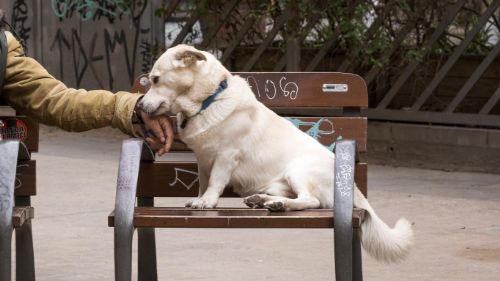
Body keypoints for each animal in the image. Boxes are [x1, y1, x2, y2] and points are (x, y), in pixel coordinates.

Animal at [139, 44, 412, 262]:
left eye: (156, 79)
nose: (139, 105)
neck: (208, 101)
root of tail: (352, 183)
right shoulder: (203, 160)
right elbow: (203, 183)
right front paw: (199, 199)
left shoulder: (225, 156)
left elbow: (215, 182)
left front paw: (207, 202)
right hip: (277, 183)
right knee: (294, 197)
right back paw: (263, 201)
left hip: (298, 171)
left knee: (311, 201)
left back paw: (279, 205)